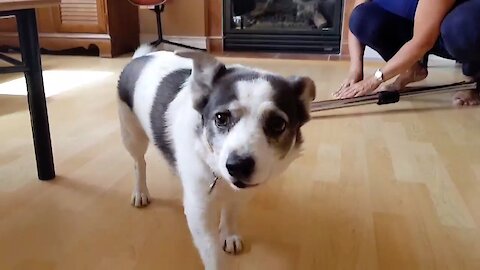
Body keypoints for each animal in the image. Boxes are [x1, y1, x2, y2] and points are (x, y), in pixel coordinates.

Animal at [117, 45, 316, 268]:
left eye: (278, 124)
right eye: (221, 118)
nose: (238, 166)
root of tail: (140, 57)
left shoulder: (240, 195)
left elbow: (231, 213)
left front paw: (229, 235)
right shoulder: (199, 209)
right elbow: (212, 252)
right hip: (132, 135)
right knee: (139, 163)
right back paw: (140, 191)